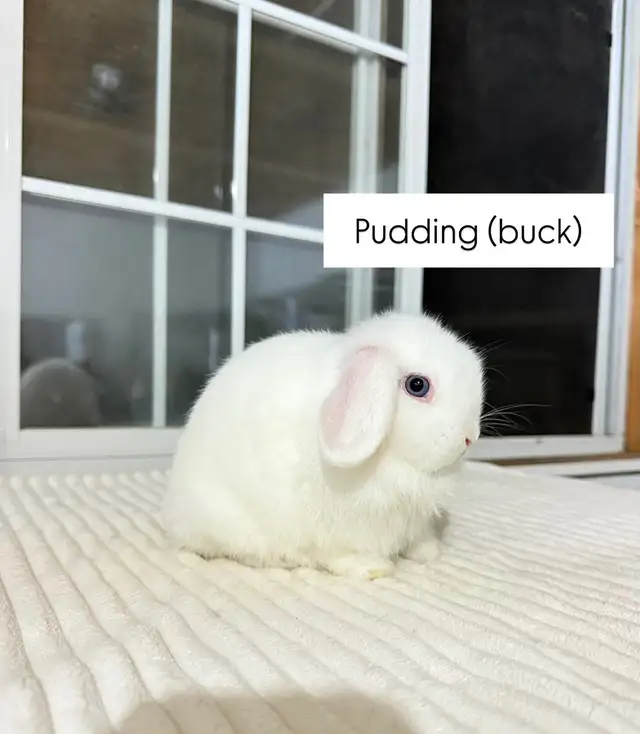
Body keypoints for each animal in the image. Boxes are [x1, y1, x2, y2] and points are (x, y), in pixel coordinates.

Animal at [161, 310, 485, 580]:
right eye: (417, 385)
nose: (470, 437)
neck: (391, 460)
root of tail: (177, 515)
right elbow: (342, 553)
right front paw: (373, 568)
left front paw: (428, 551)